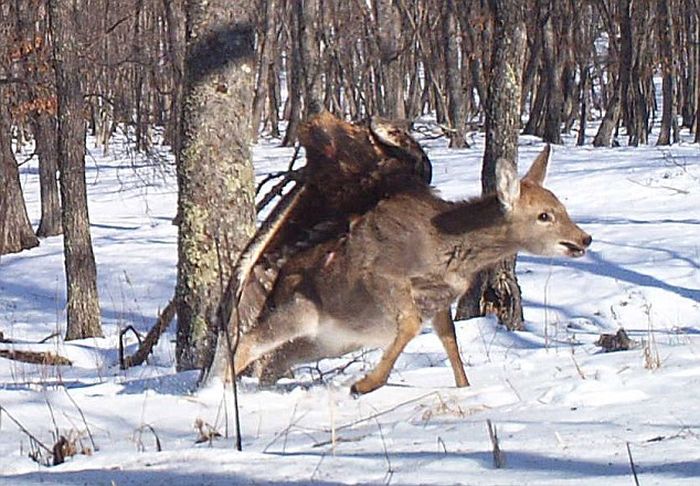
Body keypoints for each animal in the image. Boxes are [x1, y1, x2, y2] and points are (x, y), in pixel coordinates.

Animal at [231, 148, 592, 394]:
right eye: (544, 215)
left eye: (561, 207)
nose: (584, 238)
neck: (445, 249)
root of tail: (278, 279)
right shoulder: (382, 275)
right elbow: (410, 325)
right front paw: (364, 385)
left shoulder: (440, 300)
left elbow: (450, 341)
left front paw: (465, 387)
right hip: (298, 310)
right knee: (248, 343)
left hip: (329, 341)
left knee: (272, 363)